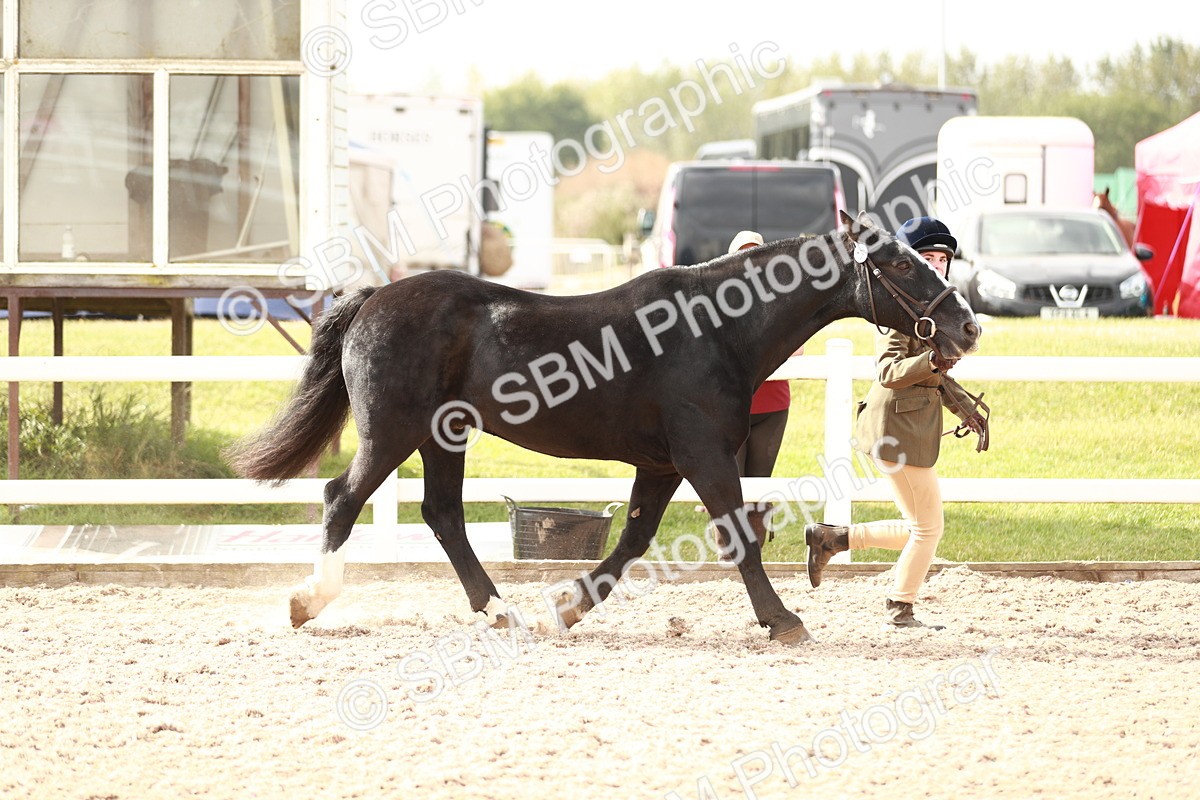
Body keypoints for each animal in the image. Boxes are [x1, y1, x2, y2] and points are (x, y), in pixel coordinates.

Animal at [228, 211, 981, 645]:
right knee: (342, 500)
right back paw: (306, 602)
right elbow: (737, 535)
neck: (717, 328)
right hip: (393, 432)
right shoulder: (703, 454)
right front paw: (784, 621)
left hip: (447, 436)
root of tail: (373, 297)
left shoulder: (664, 462)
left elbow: (635, 538)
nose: (967, 326)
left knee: (442, 513)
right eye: (901, 264)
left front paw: (566, 606)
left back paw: (500, 612)